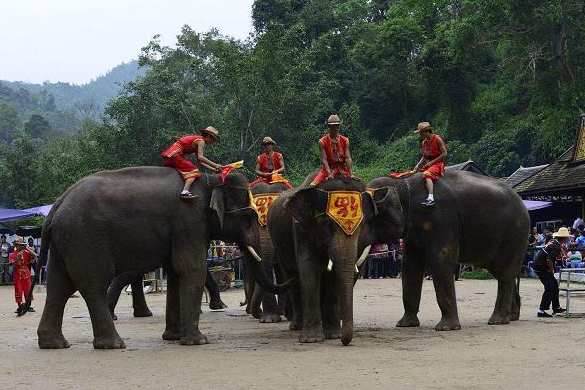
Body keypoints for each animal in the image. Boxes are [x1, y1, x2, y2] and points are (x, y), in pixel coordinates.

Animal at [268, 172, 374, 346]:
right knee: (292, 277)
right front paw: (312, 339)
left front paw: (333, 335)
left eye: (362, 225)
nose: (345, 341)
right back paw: (297, 326)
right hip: (279, 245)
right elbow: (309, 271)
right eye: (328, 224)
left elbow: (332, 277)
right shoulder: (301, 228)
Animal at [362, 170, 528, 330]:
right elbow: (410, 265)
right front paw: (405, 324)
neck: (402, 183)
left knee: (504, 273)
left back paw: (498, 320)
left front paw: (446, 328)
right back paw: (512, 317)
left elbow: (440, 260)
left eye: (366, 220)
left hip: (514, 234)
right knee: (504, 273)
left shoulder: (440, 218)